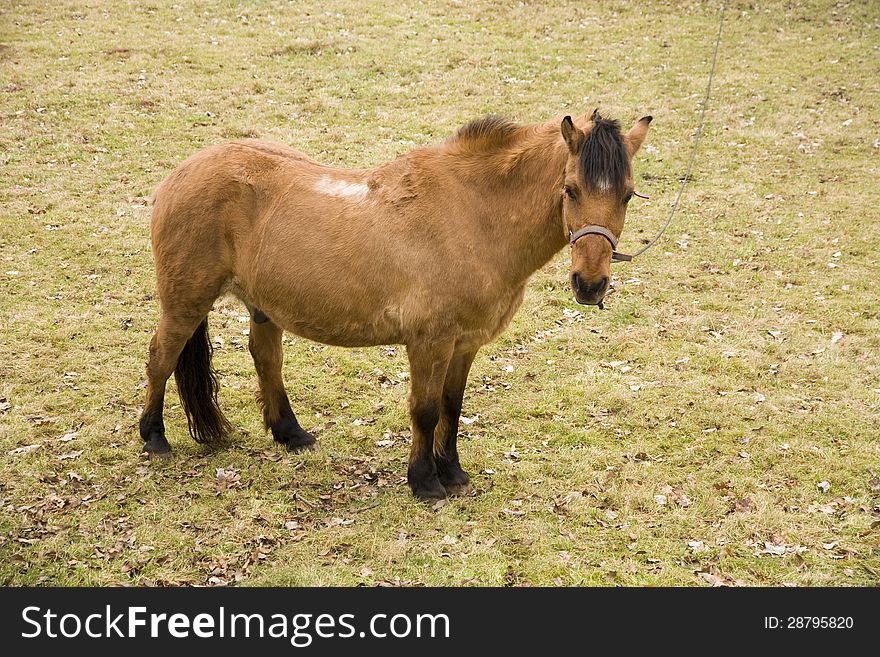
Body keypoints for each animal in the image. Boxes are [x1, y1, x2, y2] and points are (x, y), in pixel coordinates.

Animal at [141, 110, 652, 498]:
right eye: (570, 190)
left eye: (627, 195)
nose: (590, 285)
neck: (472, 215)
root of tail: (179, 175)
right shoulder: (430, 342)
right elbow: (424, 409)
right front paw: (424, 481)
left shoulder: (464, 344)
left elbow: (451, 406)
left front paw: (453, 472)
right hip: (186, 301)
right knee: (161, 355)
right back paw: (154, 437)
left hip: (262, 306)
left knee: (266, 359)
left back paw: (292, 435)